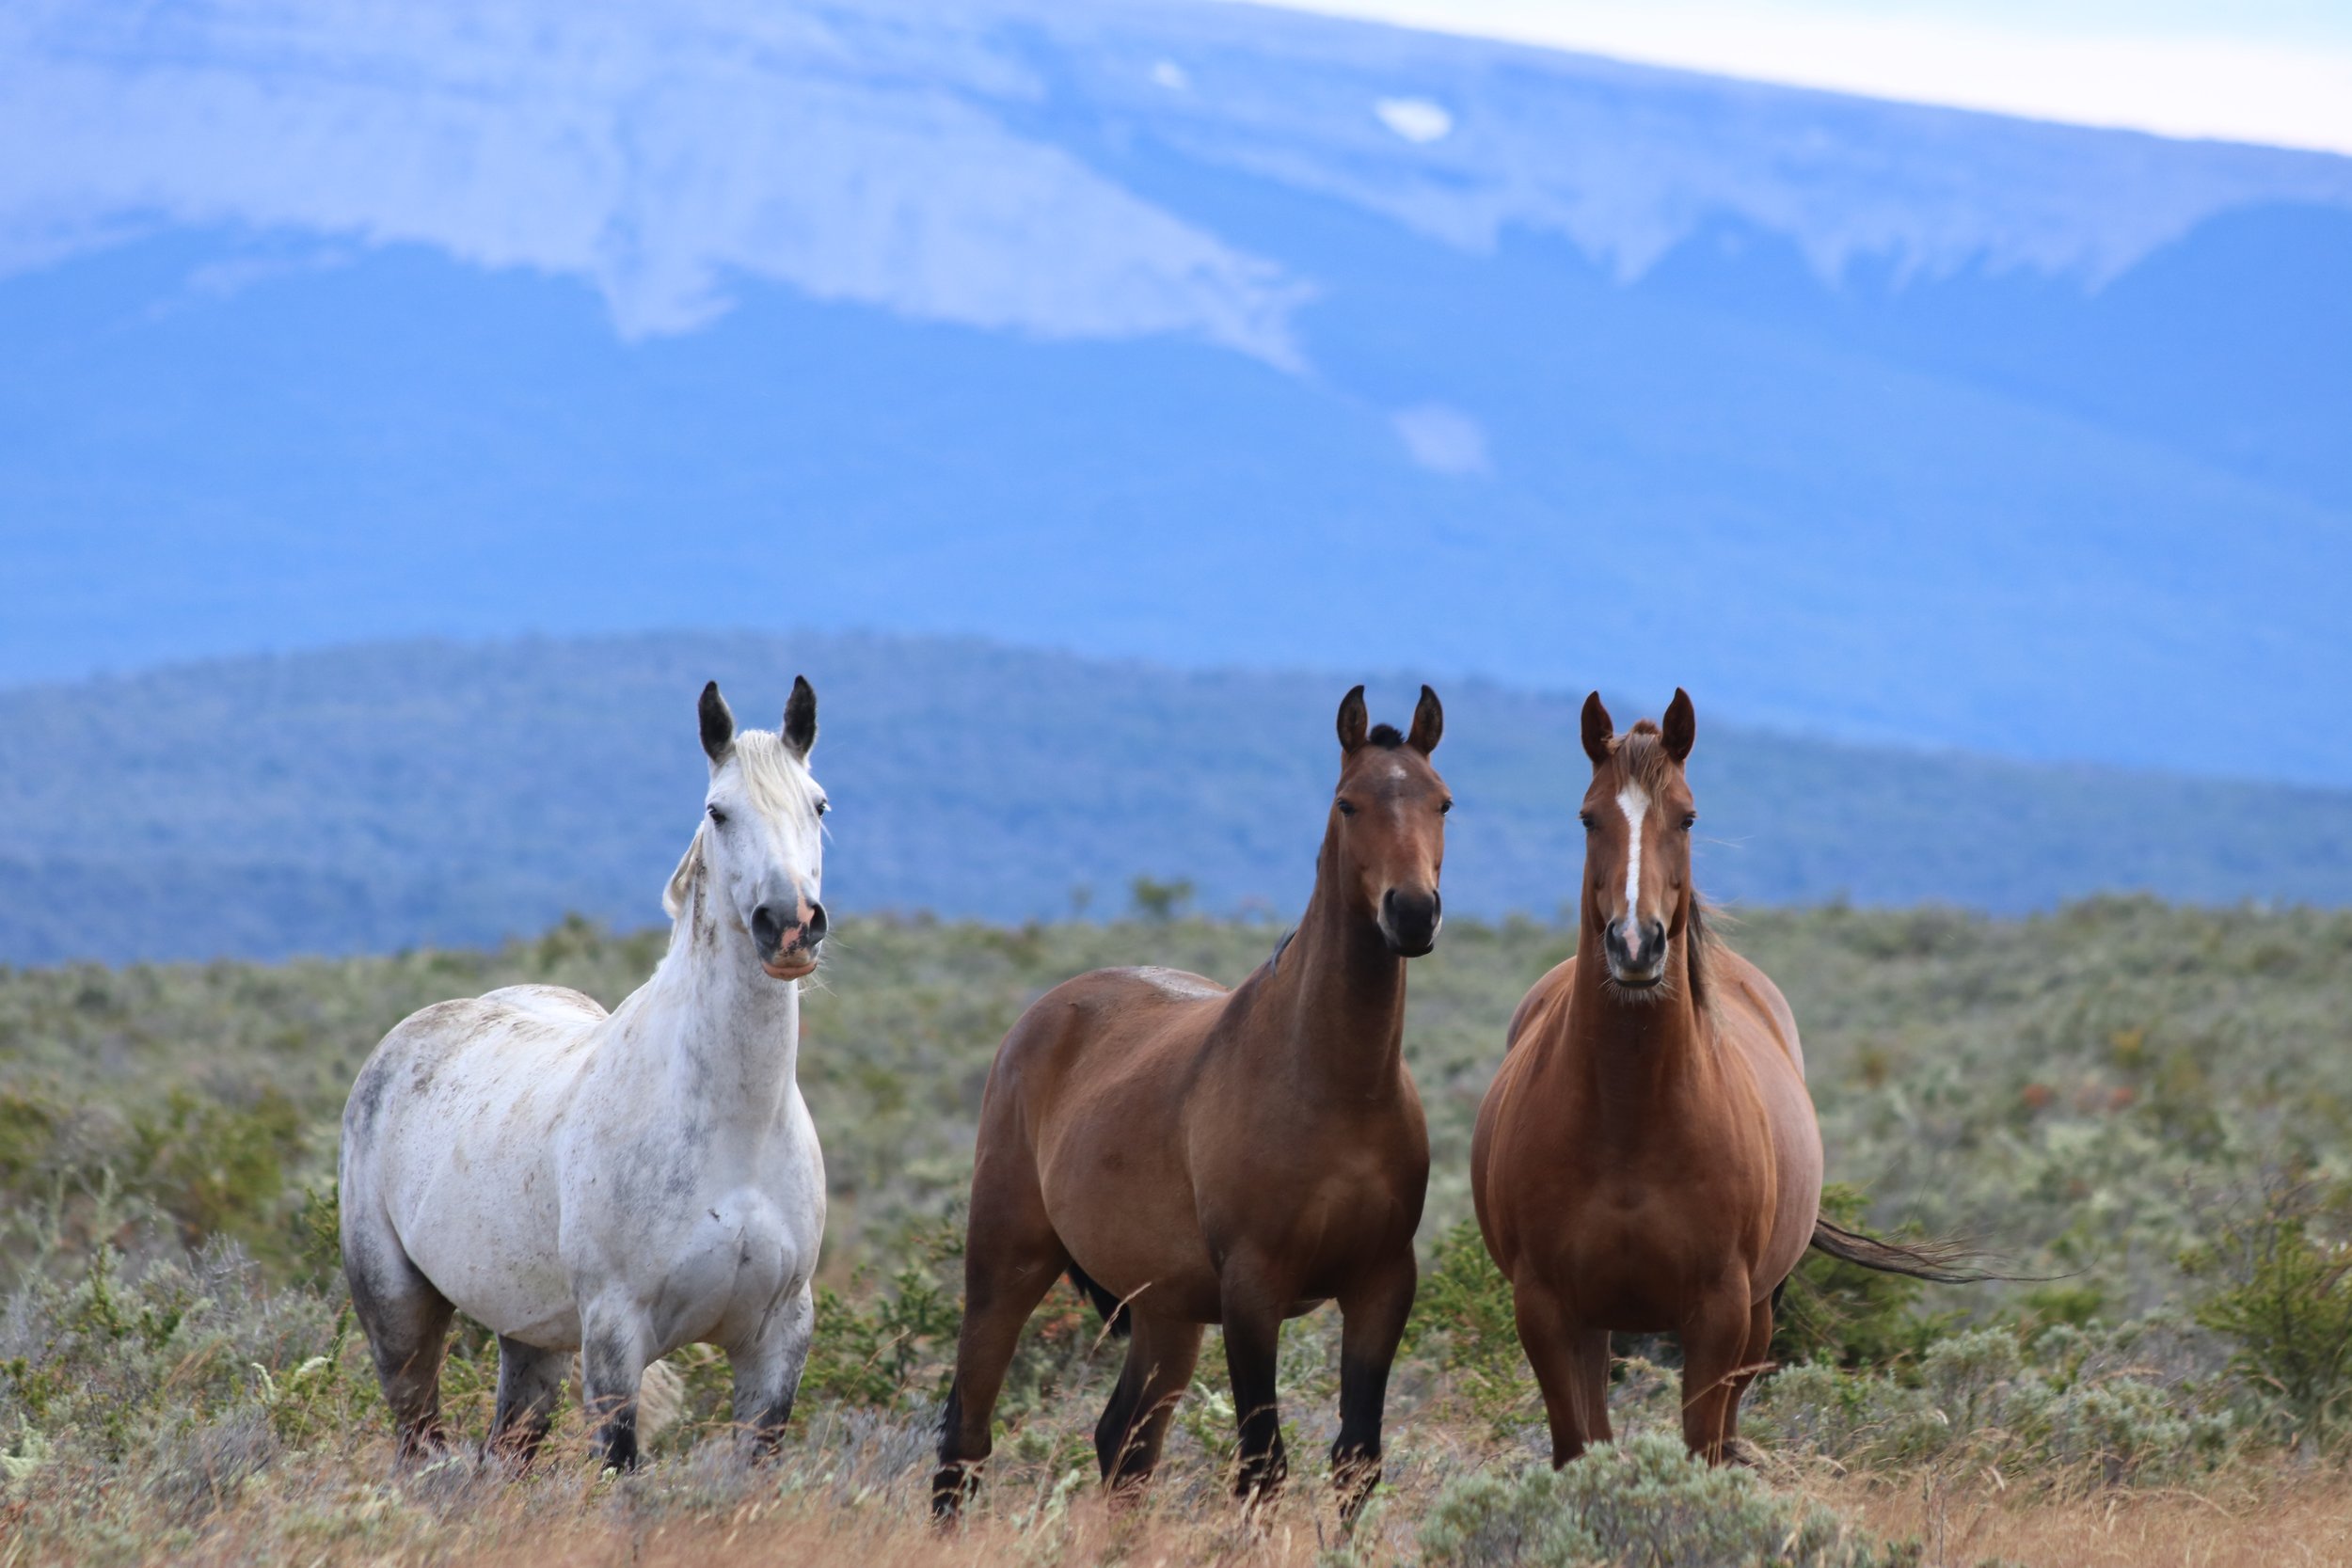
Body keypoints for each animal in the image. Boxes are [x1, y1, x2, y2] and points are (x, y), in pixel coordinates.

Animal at [339, 678, 832, 1469]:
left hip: (531, 1340)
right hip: (400, 1320)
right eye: (718, 811)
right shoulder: (613, 1333)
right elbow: (622, 1471)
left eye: (818, 804)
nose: (788, 926)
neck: (735, 1131)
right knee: (420, 1443)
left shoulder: (777, 1337)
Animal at [932, 685, 1449, 1523]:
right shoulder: (1252, 1290)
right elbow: (1263, 1463)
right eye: (1348, 803)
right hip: (1006, 1265)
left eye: (1442, 801)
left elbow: (1356, 1462)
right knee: (966, 1438)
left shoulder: (1381, 1285)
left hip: (1165, 1313)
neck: (1331, 1082)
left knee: (1124, 1444)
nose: (1411, 912)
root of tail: (1040, 1016)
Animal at [1471, 689, 1980, 1467]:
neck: (1628, 1117)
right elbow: (1578, 1448)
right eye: (1589, 816)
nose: (1636, 944)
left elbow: (1702, 1448)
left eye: (1687, 815)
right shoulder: (1547, 1308)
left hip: (1761, 1311)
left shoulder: (1719, 1311)